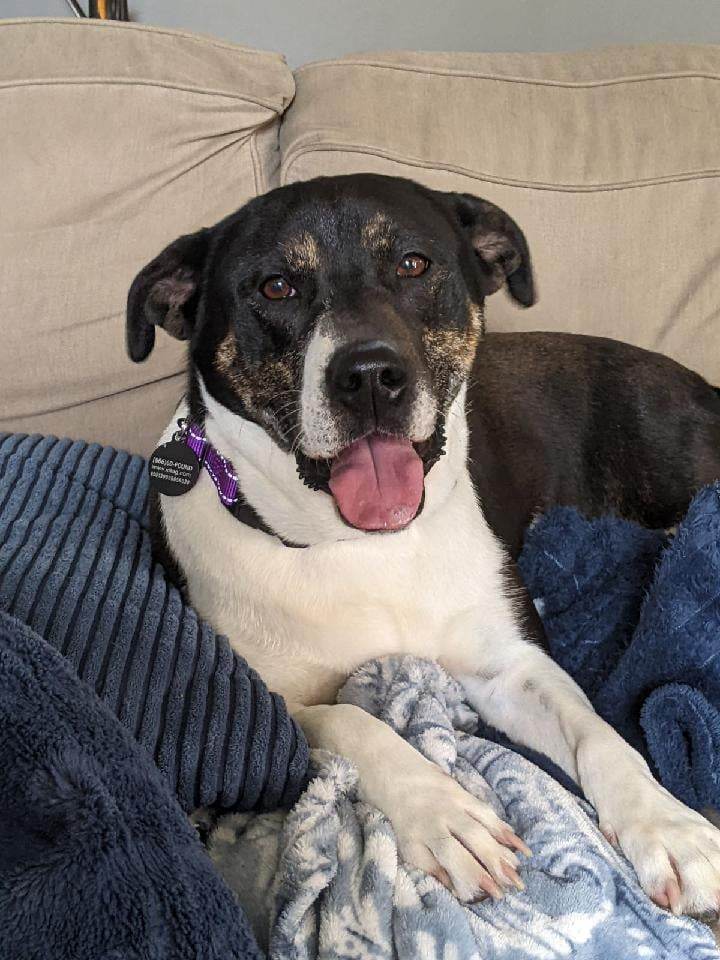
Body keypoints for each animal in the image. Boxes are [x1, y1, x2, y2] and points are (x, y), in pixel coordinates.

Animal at [126, 172, 720, 916]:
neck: (360, 545)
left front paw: (667, 825)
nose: (369, 376)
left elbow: (599, 735)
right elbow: (353, 724)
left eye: (413, 264)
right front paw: (443, 814)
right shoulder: (273, 700)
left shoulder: (508, 665)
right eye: (275, 286)